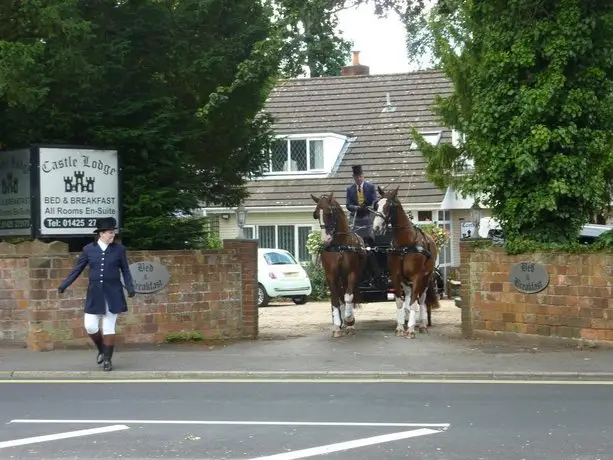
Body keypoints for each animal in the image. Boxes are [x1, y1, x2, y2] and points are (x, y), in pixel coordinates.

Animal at [308, 191, 366, 338]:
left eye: (329, 212)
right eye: (316, 214)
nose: (325, 239)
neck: (339, 246)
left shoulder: (352, 274)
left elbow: (348, 296)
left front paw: (349, 319)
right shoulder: (330, 276)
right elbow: (335, 300)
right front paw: (337, 326)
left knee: (347, 295)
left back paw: (349, 322)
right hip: (340, 278)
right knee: (340, 297)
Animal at [370, 185, 438, 340]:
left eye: (389, 206)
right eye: (376, 205)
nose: (376, 228)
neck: (405, 244)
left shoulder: (417, 277)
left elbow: (414, 303)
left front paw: (411, 329)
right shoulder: (396, 276)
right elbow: (400, 302)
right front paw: (400, 327)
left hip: (426, 279)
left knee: (422, 300)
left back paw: (423, 325)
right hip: (406, 281)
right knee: (408, 296)